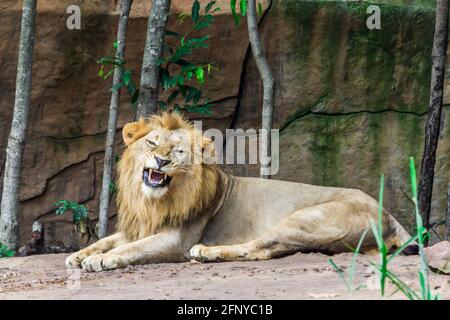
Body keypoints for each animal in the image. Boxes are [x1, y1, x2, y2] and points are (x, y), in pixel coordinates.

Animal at [65, 111, 414, 272]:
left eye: (178, 152)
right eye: (152, 142)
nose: (161, 161)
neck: (153, 202)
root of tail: (388, 214)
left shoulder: (176, 239)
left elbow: (131, 249)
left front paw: (100, 260)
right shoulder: (139, 225)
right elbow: (108, 239)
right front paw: (79, 255)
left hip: (306, 218)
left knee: (260, 247)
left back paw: (207, 253)